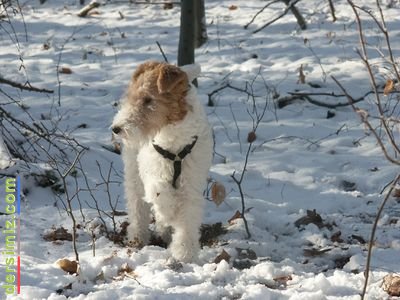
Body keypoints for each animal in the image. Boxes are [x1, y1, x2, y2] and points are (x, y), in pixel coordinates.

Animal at [111, 61, 214, 262]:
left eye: (148, 100)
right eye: (131, 97)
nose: (116, 128)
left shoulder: (191, 184)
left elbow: (187, 218)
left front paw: (184, 253)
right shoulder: (153, 172)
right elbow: (159, 194)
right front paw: (167, 216)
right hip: (134, 175)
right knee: (137, 208)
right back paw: (138, 237)